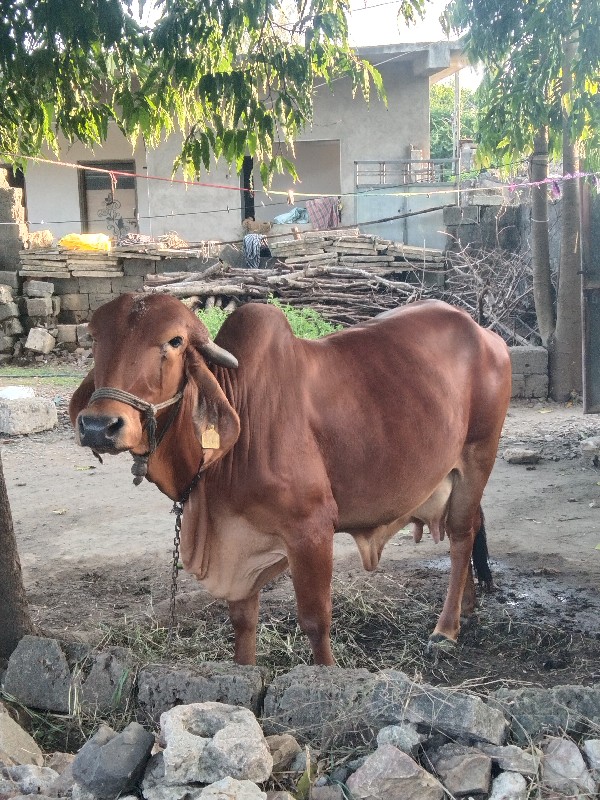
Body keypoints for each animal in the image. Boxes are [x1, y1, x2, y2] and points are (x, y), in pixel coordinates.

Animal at [69, 292, 510, 664]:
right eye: (95, 338)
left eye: (174, 341)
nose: (98, 426)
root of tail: (485, 333)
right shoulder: (237, 541)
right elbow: (243, 622)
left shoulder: (311, 529)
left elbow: (316, 620)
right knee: (473, 526)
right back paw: (468, 605)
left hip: (477, 457)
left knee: (461, 535)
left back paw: (446, 627)